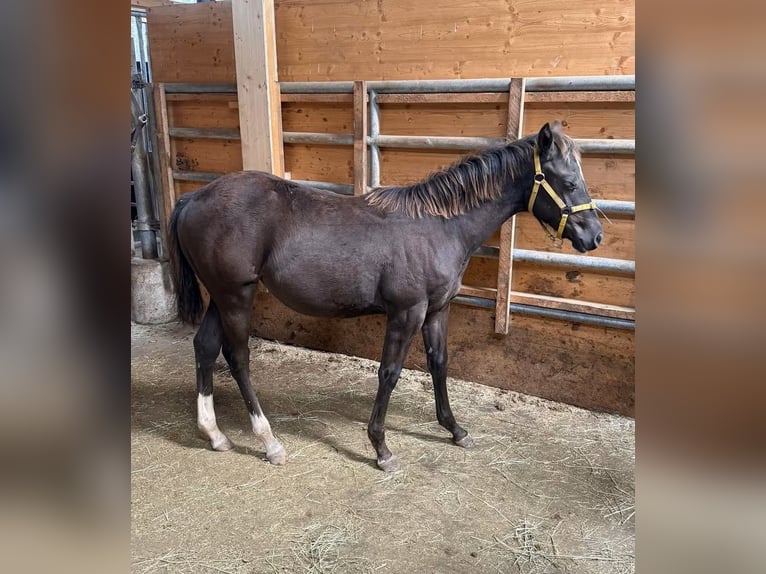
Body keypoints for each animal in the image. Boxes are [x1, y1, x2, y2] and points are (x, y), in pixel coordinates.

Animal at [166, 121, 602, 472]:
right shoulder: (407, 313)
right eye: (567, 182)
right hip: (236, 296)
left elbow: (440, 364)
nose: (594, 235)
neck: (439, 226)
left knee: (205, 347)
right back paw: (269, 441)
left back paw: (214, 434)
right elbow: (389, 373)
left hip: (220, 297)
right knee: (238, 357)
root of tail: (193, 199)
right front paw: (381, 448)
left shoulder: (437, 311)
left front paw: (455, 429)